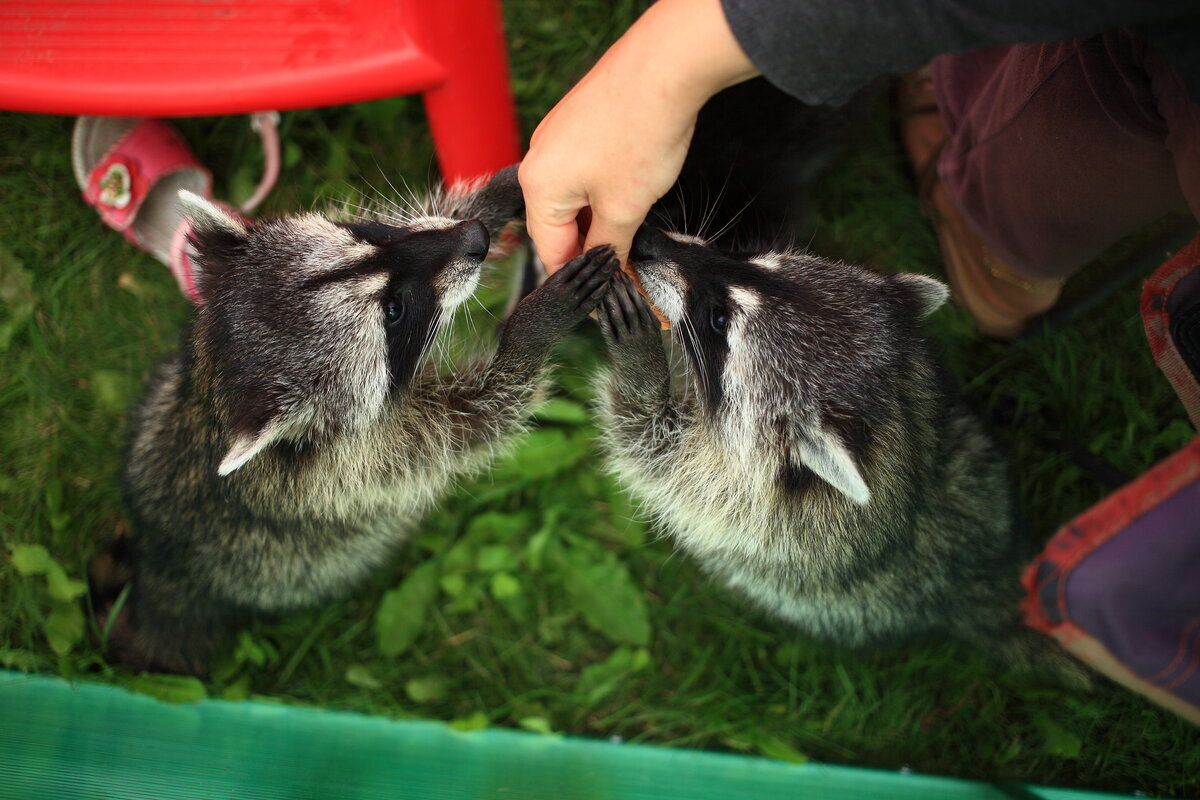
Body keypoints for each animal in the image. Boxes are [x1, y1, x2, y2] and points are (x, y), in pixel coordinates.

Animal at [92, 167, 619, 676]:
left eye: (368, 236)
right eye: (393, 310)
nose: (475, 238)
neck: (212, 405)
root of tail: (160, 578)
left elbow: (431, 211)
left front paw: (504, 190)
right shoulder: (362, 459)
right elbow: (487, 411)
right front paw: (532, 327)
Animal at [597, 226, 1080, 681]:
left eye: (718, 319)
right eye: (750, 257)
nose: (645, 240)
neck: (897, 431)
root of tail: (986, 585)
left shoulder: (737, 493)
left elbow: (648, 444)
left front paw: (639, 361)